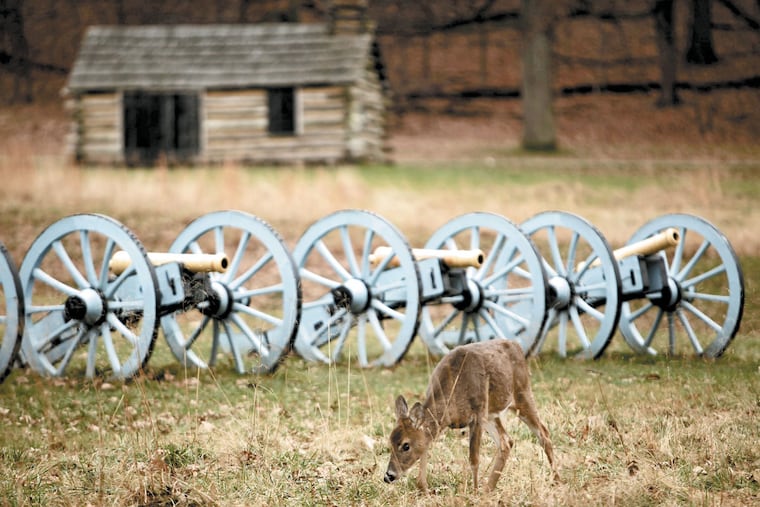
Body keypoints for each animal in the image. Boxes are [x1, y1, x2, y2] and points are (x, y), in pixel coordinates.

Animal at [383, 339, 557, 493]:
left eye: (406, 445)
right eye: (390, 442)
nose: (388, 476)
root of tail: (517, 346)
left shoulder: (477, 415)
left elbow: (474, 459)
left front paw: (473, 492)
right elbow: (425, 445)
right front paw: (424, 488)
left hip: (522, 393)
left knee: (544, 433)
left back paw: (556, 480)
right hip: (491, 414)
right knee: (506, 441)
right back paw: (488, 489)